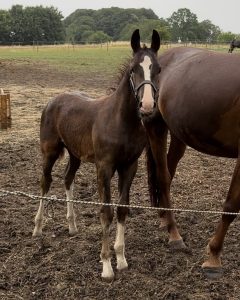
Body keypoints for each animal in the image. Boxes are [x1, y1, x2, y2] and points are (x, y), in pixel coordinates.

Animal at [32, 29, 172, 280]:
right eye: (133, 69)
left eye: (158, 69)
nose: (147, 106)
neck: (120, 121)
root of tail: (53, 101)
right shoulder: (104, 167)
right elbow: (105, 211)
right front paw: (106, 265)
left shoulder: (129, 166)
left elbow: (122, 208)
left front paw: (122, 259)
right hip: (49, 152)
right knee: (45, 182)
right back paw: (37, 228)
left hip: (75, 154)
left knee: (67, 179)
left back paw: (72, 226)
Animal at [142, 45, 240, 278]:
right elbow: (231, 205)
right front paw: (213, 257)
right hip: (155, 127)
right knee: (162, 177)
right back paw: (174, 235)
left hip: (179, 135)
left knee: (168, 172)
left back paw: (164, 218)